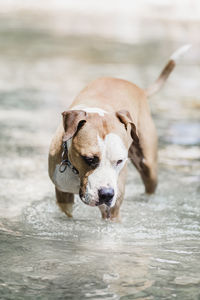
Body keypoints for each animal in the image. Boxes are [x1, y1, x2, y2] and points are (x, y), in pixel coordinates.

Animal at [48, 45, 191, 221]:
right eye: (89, 159)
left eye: (120, 161)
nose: (106, 194)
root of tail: (139, 89)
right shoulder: (63, 195)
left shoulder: (112, 209)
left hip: (148, 165)